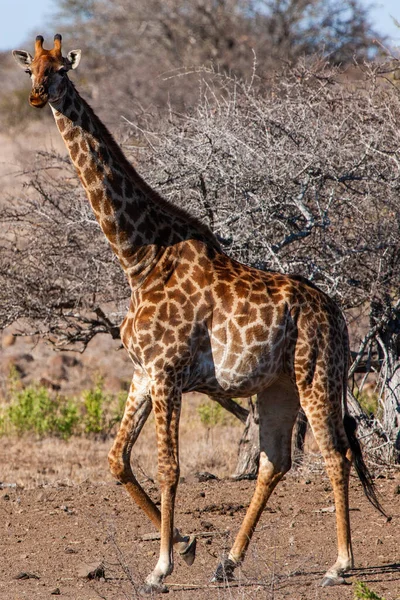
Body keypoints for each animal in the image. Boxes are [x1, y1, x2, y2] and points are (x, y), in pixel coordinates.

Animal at [13, 35, 384, 592]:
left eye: (60, 69)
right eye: (29, 68)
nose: (38, 95)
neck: (139, 258)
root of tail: (338, 316)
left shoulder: (167, 373)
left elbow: (169, 467)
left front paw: (160, 568)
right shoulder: (143, 372)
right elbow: (116, 459)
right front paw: (187, 546)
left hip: (317, 374)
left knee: (334, 455)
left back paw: (340, 564)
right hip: (278, 386)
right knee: (275, 461)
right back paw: (228, 561)